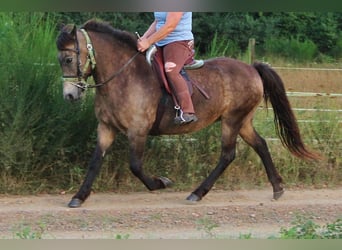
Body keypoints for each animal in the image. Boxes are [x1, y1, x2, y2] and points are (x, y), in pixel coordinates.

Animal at [56, 19, 320, 208]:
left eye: (68, 59)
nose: (69, 95)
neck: (123, 76)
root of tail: (252, 68)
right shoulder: (106, 128)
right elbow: (95, 161)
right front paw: (79, 197)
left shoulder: (138, 130)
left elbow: (136, 166)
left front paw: (161, 183)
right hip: (243, 121)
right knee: (261, 145)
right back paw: (277, 188)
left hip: (232, 120)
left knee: (228, 155)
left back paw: (197, 193)